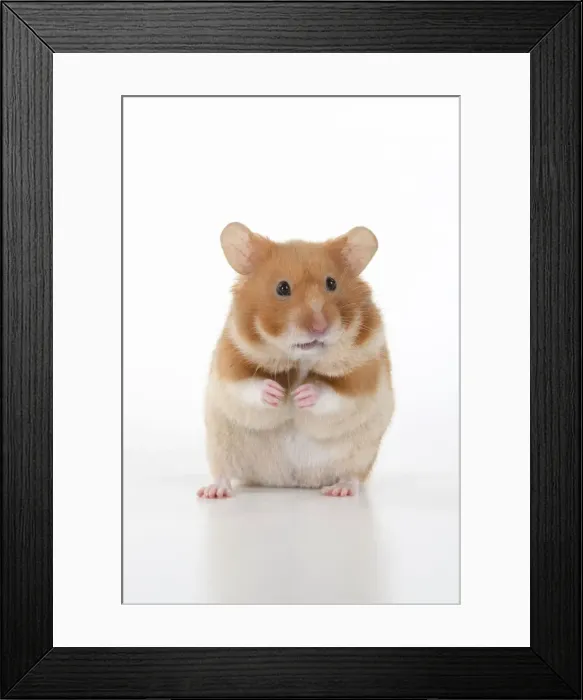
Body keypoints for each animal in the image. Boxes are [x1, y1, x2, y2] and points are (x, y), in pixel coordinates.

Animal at [197, 222, 394, 499]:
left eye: (331, 283)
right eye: (283, 288)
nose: (320, 328)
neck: (302, 359)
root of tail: (289, 481)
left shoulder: (365, 375)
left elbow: (335, 394)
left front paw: (301, 395)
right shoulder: (229, 363)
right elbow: (246, 386)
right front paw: (278, 393)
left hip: (361, 455)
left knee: (352, 476)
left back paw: (340, 489)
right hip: (220, 445)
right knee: (223, 472)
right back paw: (213, 491)